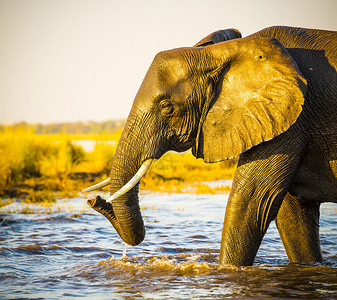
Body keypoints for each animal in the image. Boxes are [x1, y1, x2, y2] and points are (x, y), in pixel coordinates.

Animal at [82, 25, 336, 264]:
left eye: (166, 107)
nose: (95, 200)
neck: (224, 52)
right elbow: (290, 213)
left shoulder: (291, 118)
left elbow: (252, 200)